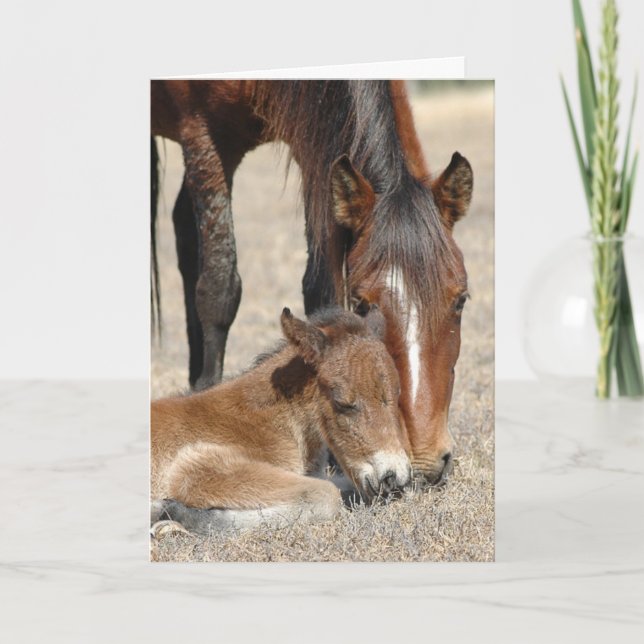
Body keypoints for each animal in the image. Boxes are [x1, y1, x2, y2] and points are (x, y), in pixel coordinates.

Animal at [150, 305, 412, 535]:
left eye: (397, 394)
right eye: (342, 403)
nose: (394, 478)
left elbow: (340, 487)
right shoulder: (196, 467)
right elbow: (326, 495)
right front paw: (171, 514)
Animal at [151, 80, 473, 486]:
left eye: (461, 299)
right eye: (362, 303)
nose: (425, 461)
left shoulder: (315, 144)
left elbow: (320, 288)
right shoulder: (204, 134)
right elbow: (219, 288)